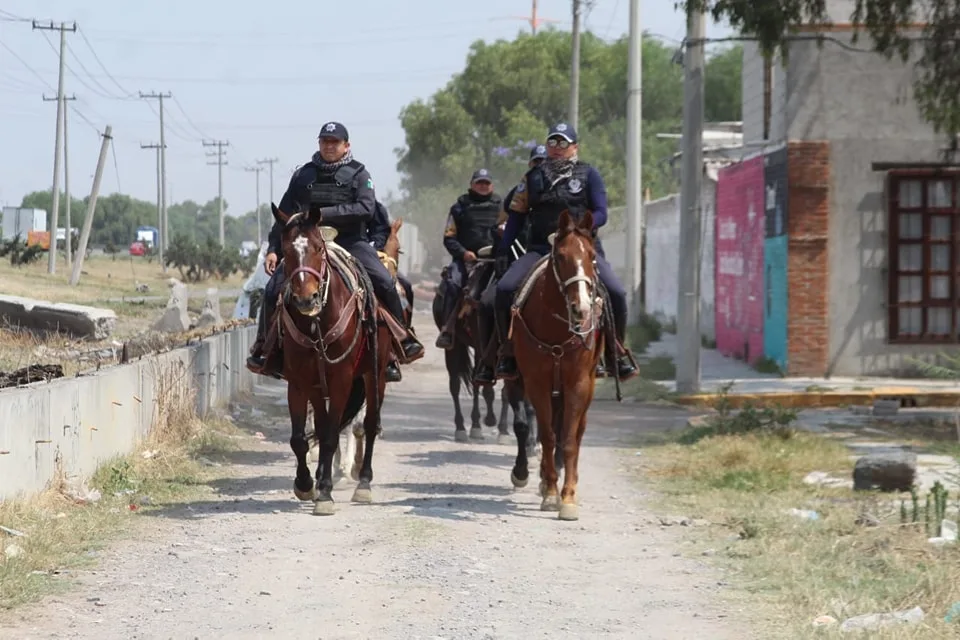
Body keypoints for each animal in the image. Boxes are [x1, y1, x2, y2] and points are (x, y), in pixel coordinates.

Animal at [264, 204, 392, 516]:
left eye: (318, 248)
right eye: (285, 250)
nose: (306, 299)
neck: (317, 323)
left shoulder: (341, 379)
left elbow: (334, 434)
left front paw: (324, 494)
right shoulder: (301, 381)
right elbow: (303, 437)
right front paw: (306, 484)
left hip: (375, 376)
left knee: (369, 424)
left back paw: (363, 483)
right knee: (324, 429)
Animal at [502, 210, 608, 520]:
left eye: (592, 257)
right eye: (560, 256)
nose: (581, 308)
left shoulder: (578, 383)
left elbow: (569, 439)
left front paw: (568, 498)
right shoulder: (535, 382)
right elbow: (546, 435)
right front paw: (550, 492)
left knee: (575, 431)